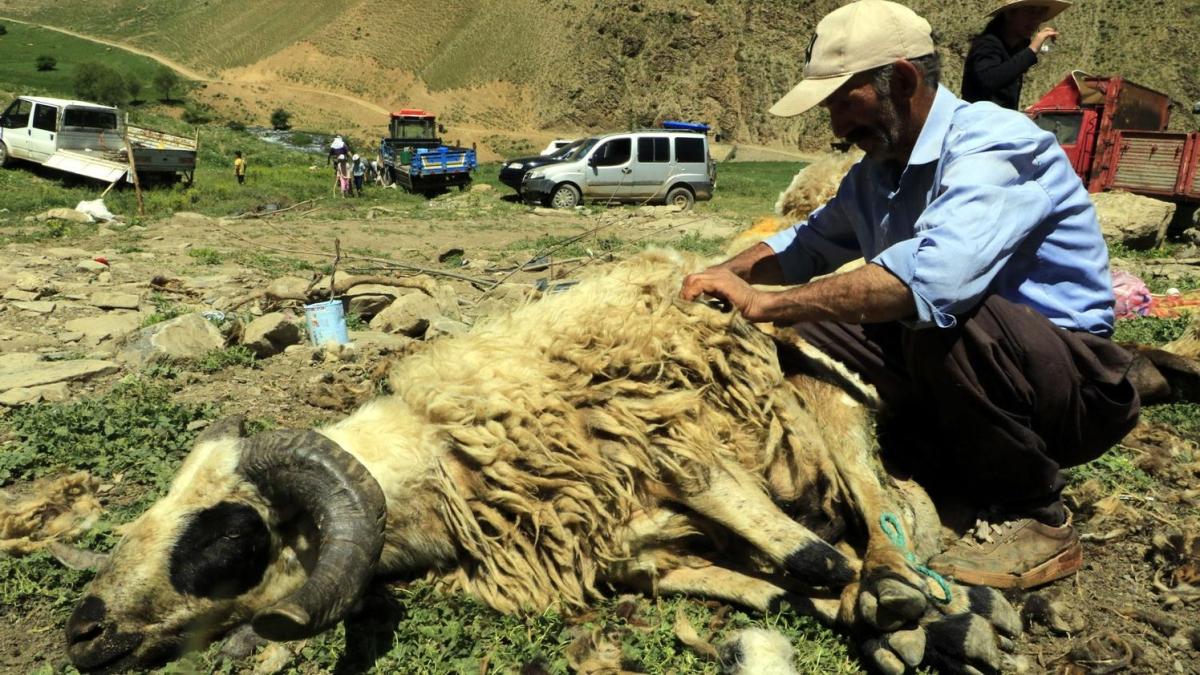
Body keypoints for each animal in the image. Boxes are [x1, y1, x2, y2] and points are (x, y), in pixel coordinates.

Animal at [65, 251, 1017, 672]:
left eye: (228, 540)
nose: (81, 631)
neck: (437, 453)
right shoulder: (610, 541)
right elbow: (760, 580)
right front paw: (811, 604)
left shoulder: (668, 437)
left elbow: (801, 548)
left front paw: (888, 604)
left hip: (826, 394)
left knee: (873, 503)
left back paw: (913, 594)